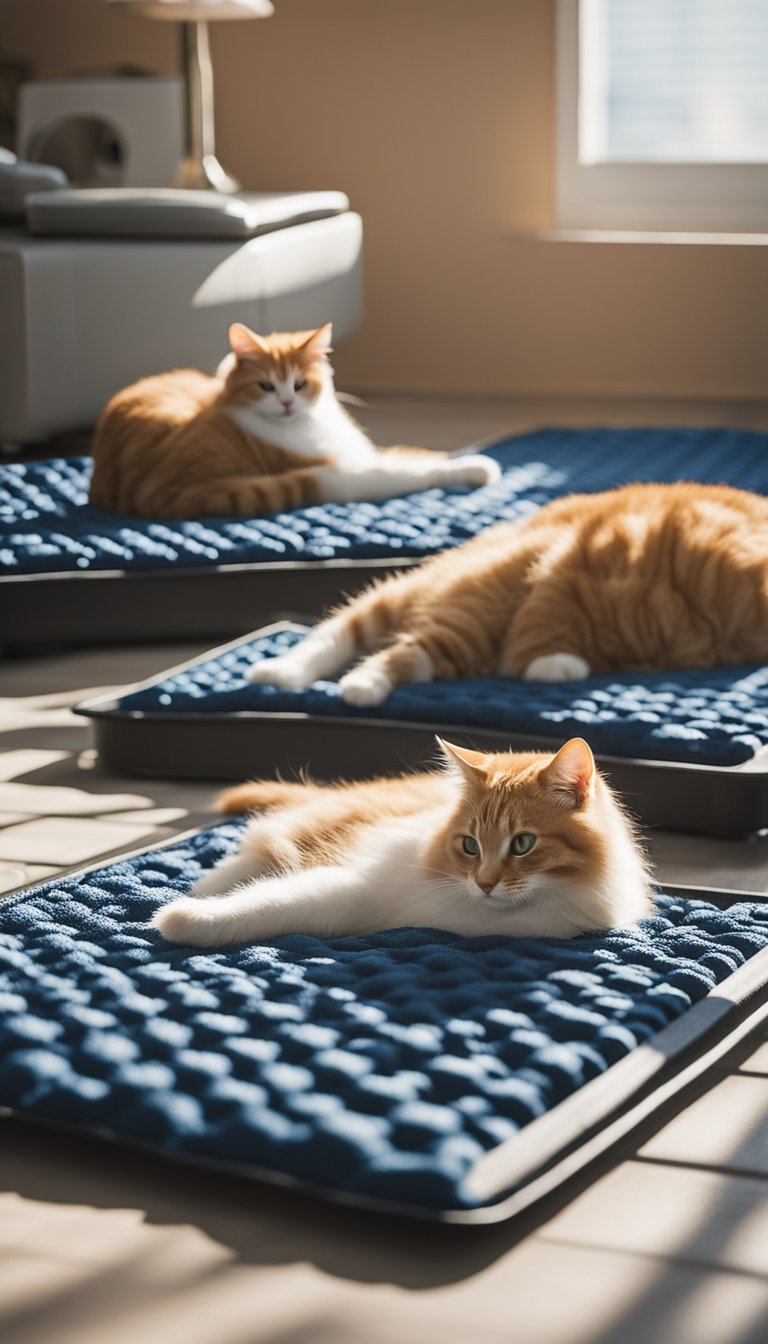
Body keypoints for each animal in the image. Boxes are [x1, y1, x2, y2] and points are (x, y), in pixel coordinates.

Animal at [90, 319, 497, 518]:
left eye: (300, 384)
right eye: (266, 386)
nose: (286, 403)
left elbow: (416, 455)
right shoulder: (333, 470)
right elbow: (409, 469)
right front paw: (478, 467)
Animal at [154, 741, 656, 951]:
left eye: (523, 844)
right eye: (470, 845)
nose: (484, 884)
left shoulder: (356, 904)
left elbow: (272, 905)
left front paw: (183, 921)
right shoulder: (358, 882)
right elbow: (264, 902)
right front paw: (183, 915)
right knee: (259, 844)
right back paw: (207, 882)